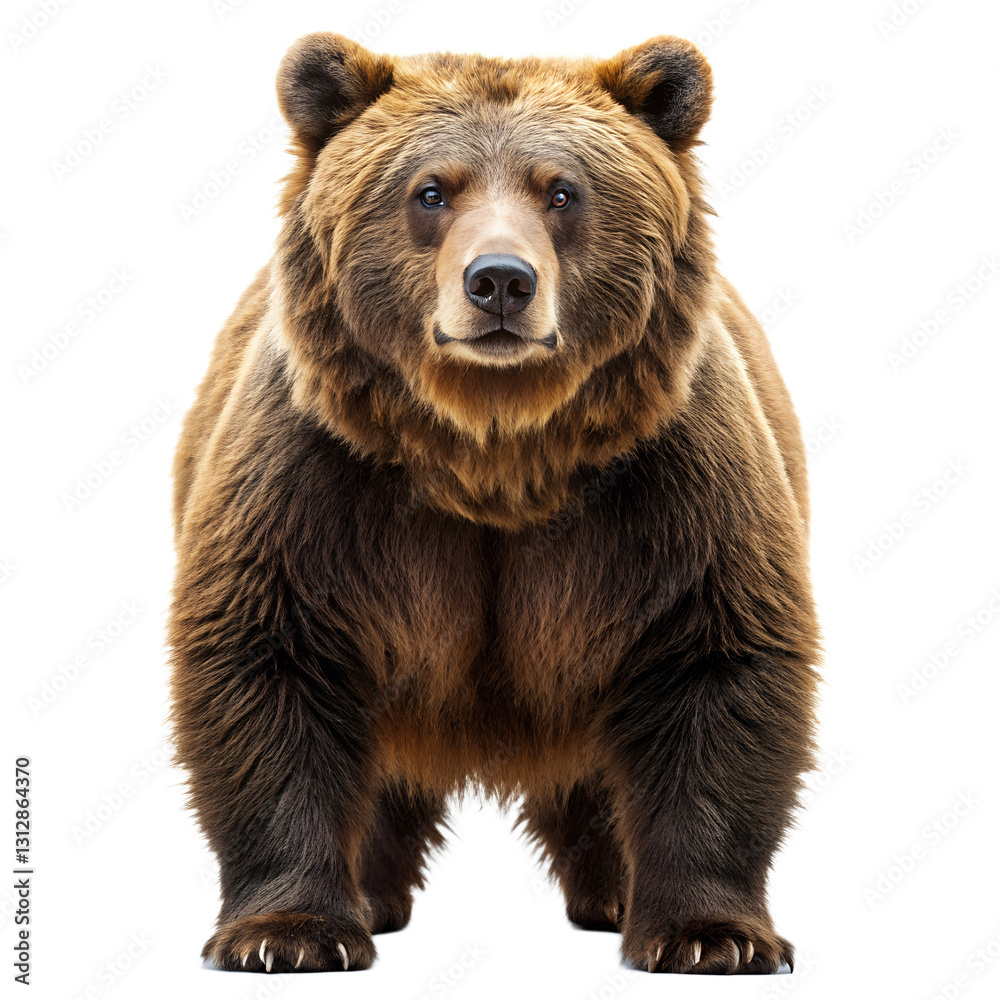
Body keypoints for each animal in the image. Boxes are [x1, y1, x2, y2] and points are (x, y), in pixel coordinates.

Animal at [168, 31, 820, 976]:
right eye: (431, 190)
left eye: (563, 190)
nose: (501, 282)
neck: (493, 451)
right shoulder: (319, 481)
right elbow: (270, 661)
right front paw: (285, 933)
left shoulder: (667, 486)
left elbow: (714, 663)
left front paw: (712, 934)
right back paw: (375, 895)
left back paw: (613, 892)